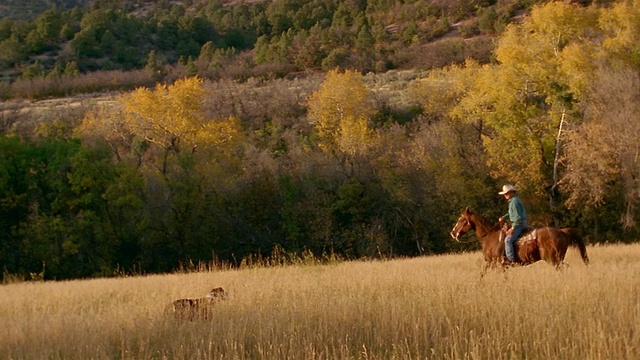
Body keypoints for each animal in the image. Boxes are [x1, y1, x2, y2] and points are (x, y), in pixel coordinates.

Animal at [450, 208, 592, 272]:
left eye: (461, 219)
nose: (452, 233)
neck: (490, 237)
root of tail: (562, 231)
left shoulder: (497, 263)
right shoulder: (491, 263)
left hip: (553, 259)